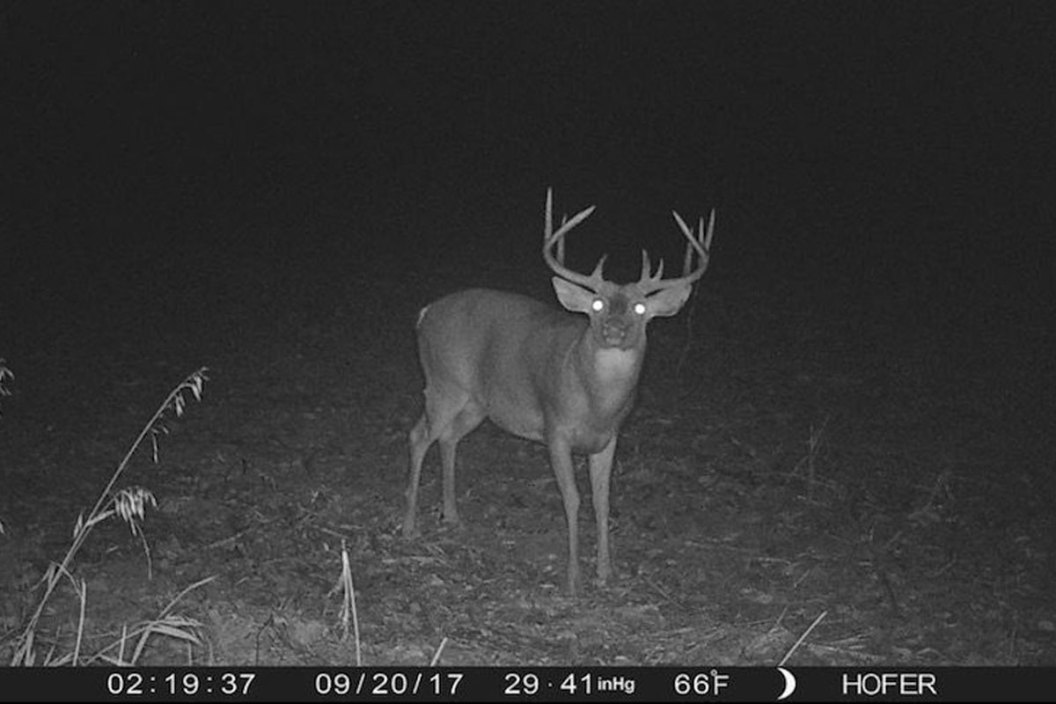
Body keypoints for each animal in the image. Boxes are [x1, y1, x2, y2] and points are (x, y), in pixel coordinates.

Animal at [403, 188, 715, 595]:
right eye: (597, 303)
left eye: (639, 307)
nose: (614, 330)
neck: (596, 403)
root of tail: (424, 313)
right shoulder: (556, 429)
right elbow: (573, 499)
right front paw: (573, 578)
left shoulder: (609, 438)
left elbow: (602, 501)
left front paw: (605, 572)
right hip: (443, 383)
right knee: (418, 435)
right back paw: (409, 526)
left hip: (476, 401)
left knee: (448, 438)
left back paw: (452, 516)